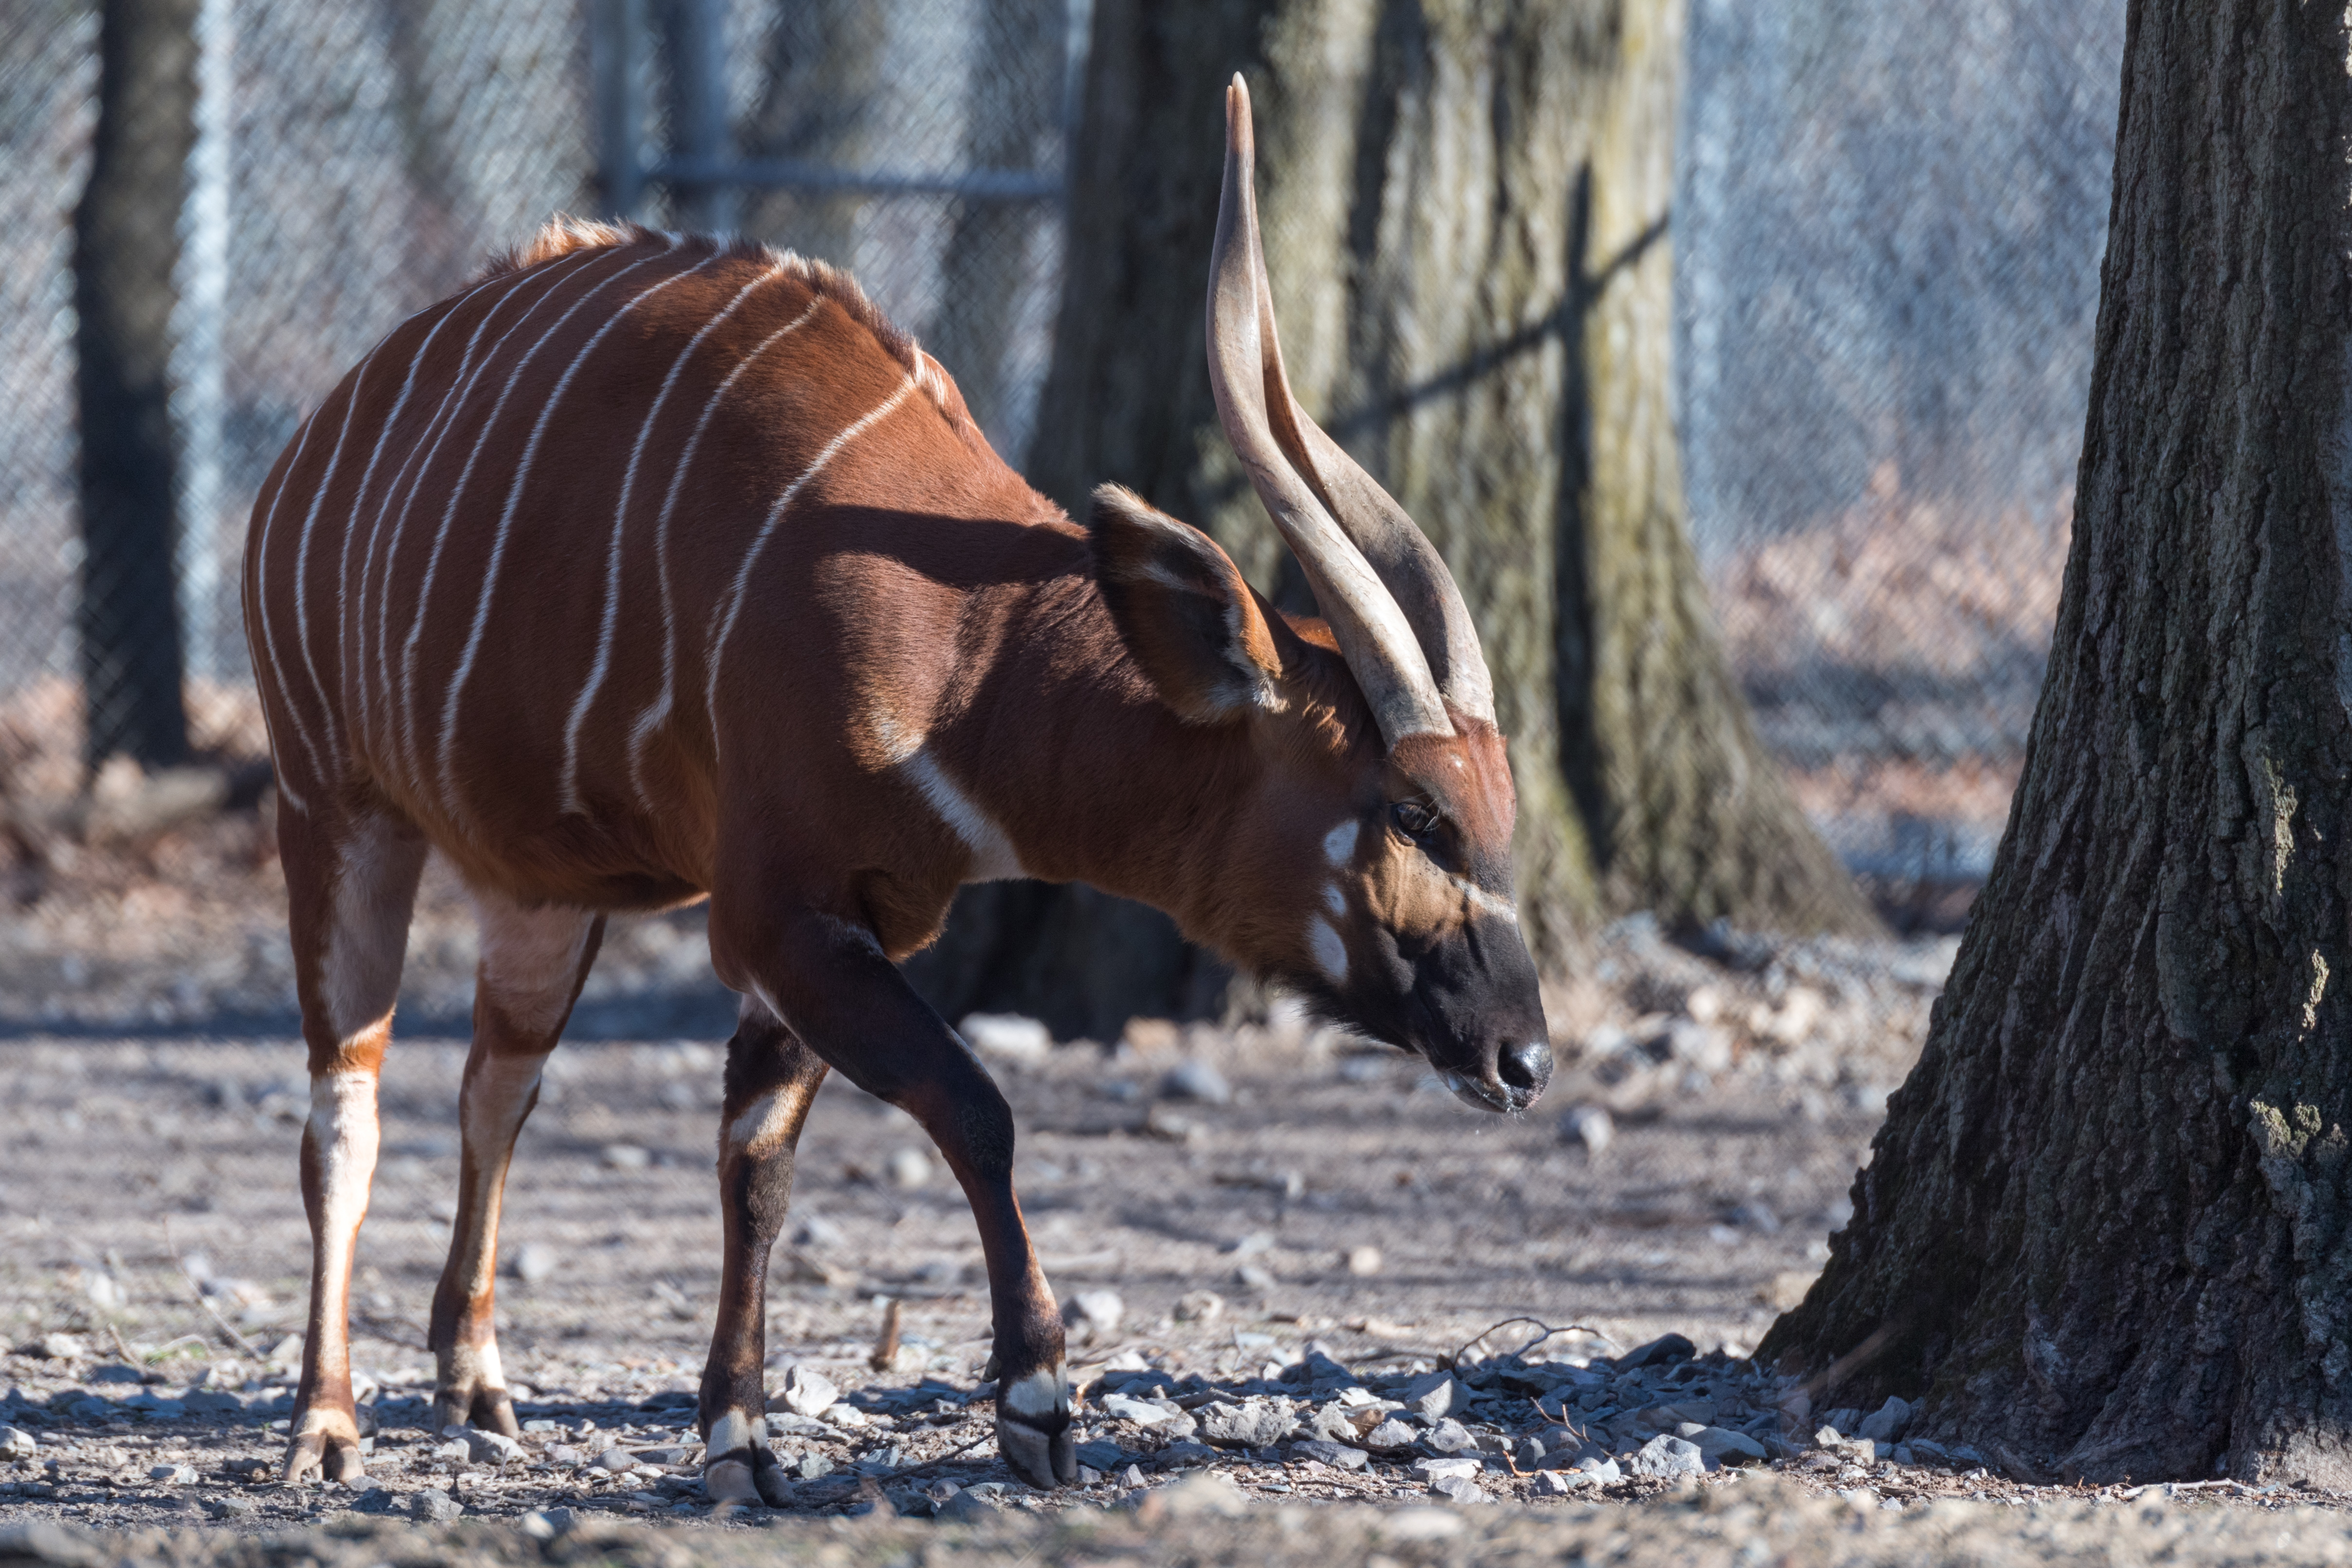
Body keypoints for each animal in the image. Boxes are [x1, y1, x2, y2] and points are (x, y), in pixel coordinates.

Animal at [248, 80, 1552, 1504]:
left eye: (1502, 814)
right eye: (1415, 811)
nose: (1523, 1055)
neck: (969, 651)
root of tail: (317, 436)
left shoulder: (850, 925)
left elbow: (758, 1160)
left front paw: (738, 1435)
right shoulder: (776, 915)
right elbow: (973, 1105)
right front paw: (1034, 1398)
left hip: (540, 891)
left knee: (498, 1084)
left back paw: (474, 1380)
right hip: (335, 811)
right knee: (342, 1114)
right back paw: (325, 1424)